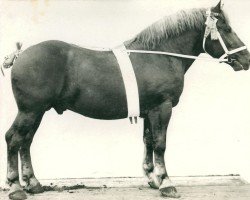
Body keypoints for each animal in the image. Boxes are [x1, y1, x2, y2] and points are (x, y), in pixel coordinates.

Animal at [3, 1, 250, 200]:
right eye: (226, 29)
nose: (246, 59)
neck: (160, 55)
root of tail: (20, 55)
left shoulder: (149, 111)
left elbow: (148, 141)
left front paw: (152, 179)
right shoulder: (162, 108)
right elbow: (160, 144)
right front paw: (166, 183)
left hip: (37, 111)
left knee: (26, 142)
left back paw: (33, 184)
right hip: (30, 111)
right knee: (14, 139)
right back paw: (15, 187)